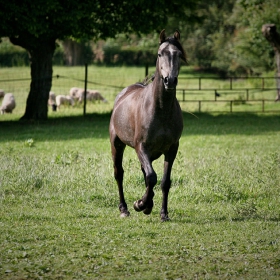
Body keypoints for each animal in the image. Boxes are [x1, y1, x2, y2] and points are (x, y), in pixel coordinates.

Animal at [109, 29, 186, 221]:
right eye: (160, 54)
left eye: (179, 54)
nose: (169, 80)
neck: (160, 110)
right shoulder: (141, 146)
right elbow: (152, 177)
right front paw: (139, 204)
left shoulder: (172, 149)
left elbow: (164, 181)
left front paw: (162, 213)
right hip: (117, 144)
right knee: (119, 174)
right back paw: (124, 209)